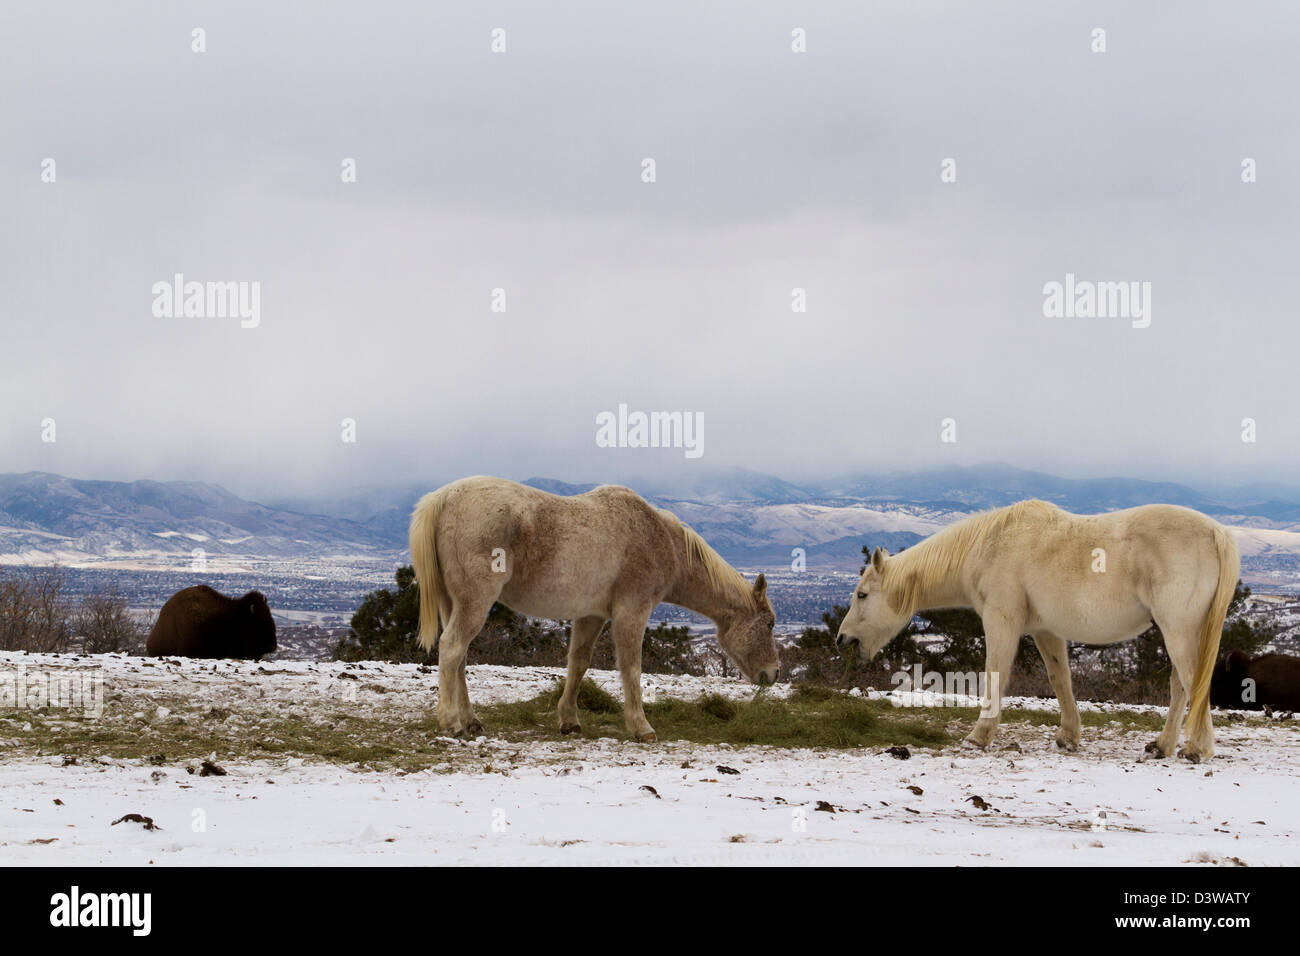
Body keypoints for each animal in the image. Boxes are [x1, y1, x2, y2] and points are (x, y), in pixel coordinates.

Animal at [409, 476, 780, 740]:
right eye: (770, 624)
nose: (773, 674)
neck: (660, 537)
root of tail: (445, 497)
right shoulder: (632, 612)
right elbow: (631, 667)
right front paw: (641, 727)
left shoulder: (592, 615)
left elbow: (578, 664)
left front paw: (570, 721)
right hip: (475, 602)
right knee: (452, 647)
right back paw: (451, 723)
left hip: (454, 603)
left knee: (460, 657)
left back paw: (471, 720)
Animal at [835, 500, 1239, 762]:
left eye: (862, 594)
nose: (843, 639)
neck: (989, 545)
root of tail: (1217, 532)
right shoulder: (1046, 631)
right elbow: (1061, 680)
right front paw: (1068, 737)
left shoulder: (1001, 620)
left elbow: (995, 675)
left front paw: (979, 737)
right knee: (1179, 685)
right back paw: (1163, 746)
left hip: (1178, 629)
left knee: (1190, 680)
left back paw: (1196, 749)